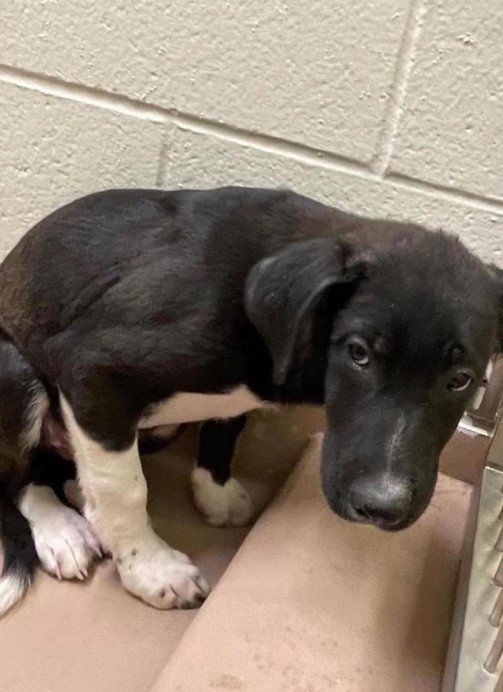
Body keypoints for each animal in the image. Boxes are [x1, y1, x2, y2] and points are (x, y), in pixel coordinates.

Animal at [0, 185, 502, 616]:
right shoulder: (93, 371)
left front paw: (215, 491)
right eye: (358, 353)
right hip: (18, 373)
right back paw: (60, 528)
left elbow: (225, 430)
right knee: (19, 478)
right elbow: (125, 489)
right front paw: (151, 569)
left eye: (461, 380)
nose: (382, 507)